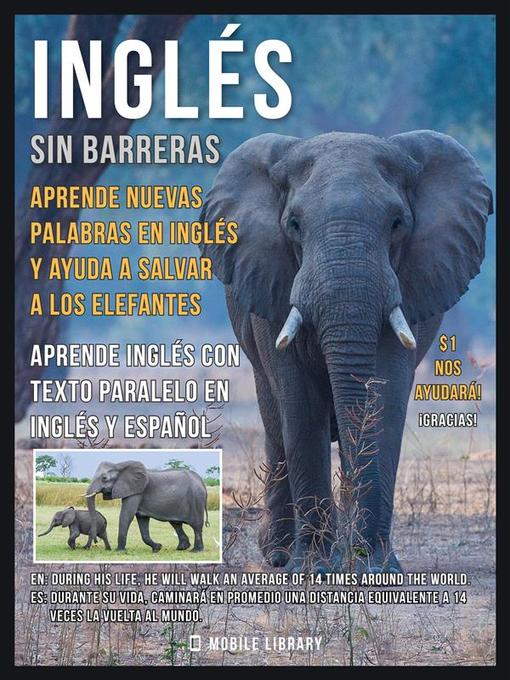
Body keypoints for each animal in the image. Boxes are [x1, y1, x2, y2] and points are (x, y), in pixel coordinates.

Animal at [200, 130, 492, 574]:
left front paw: (375, 569)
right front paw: (313, 570)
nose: (354, 559)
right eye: (294, 225)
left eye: (397, 223)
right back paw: (281, 555)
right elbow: (300, 405)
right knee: (276, 423)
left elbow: (383, 398)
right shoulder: (273, 281)